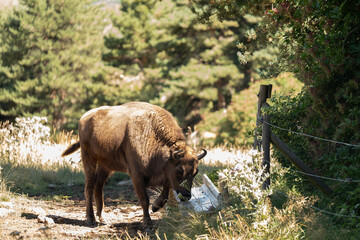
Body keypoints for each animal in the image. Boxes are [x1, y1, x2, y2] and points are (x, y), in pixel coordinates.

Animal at [62, 102, 205, 228]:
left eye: (195, 173)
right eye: (179, 171)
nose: (186, 196)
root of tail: (84, 118)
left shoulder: (165, 175)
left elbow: (165, 191)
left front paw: (155, 207)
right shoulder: (137, 176)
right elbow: (144, 199)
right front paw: (147, 223)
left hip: (106, 166)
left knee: (98, 187)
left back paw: (102, 218)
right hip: (88, 159)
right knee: (89, 187)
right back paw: (90, 219)